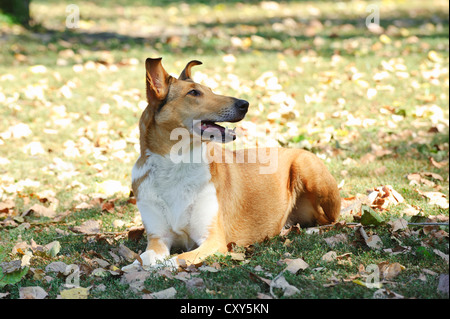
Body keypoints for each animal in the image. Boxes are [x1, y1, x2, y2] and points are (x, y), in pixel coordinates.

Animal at [125, 57, 340, 270]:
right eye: (193, 92)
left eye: (210, 89)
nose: (245, 104)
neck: (175, 166)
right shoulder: (158, 239)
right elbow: (144, 259)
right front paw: (130, 267)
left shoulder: (213, 240)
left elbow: (172, 260)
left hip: (309, 170)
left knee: (331, 220)